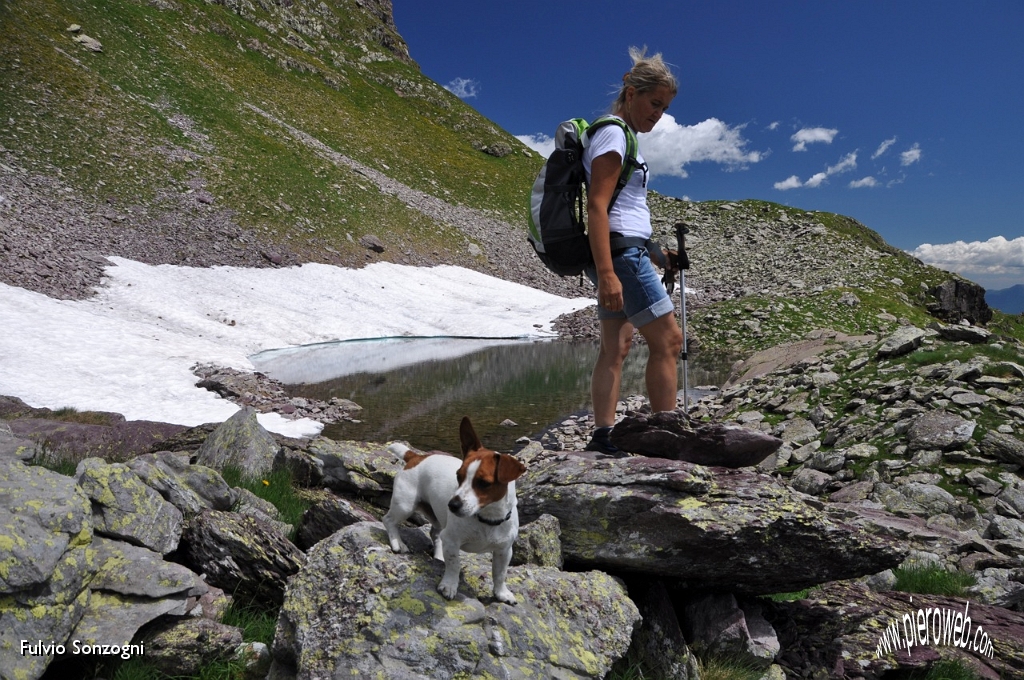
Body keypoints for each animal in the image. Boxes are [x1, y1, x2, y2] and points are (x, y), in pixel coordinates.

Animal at [385, 417, 528, 602]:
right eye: (458, 476)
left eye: (484, 483)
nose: (452, 505)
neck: (486, 519)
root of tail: (417, 456)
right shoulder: (452, 541)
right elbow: (454, 565)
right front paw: (449, 585)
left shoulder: (504, 551)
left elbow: (500, 574)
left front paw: (501, 593)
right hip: (405, 505)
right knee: (389, 520)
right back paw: (397, 543)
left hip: (435, 516)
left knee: (436, 534)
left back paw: (439, 556)